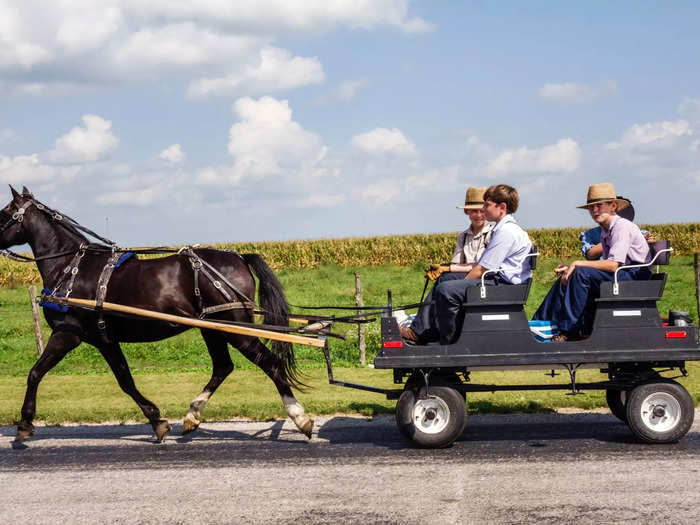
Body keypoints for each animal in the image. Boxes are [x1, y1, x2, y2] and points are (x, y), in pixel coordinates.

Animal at [0, 186, 312, 440]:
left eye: (4, 213)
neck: (72, 267)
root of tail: (238, 257)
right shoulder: (105, 340)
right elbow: (125, 380)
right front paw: (157, 420)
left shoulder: (68, 333)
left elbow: (35, 372)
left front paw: (24, 424)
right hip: (212, 327)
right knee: (224, 366)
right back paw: (192, 415)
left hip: (234, 327)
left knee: (269, 363)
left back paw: (299, 416)